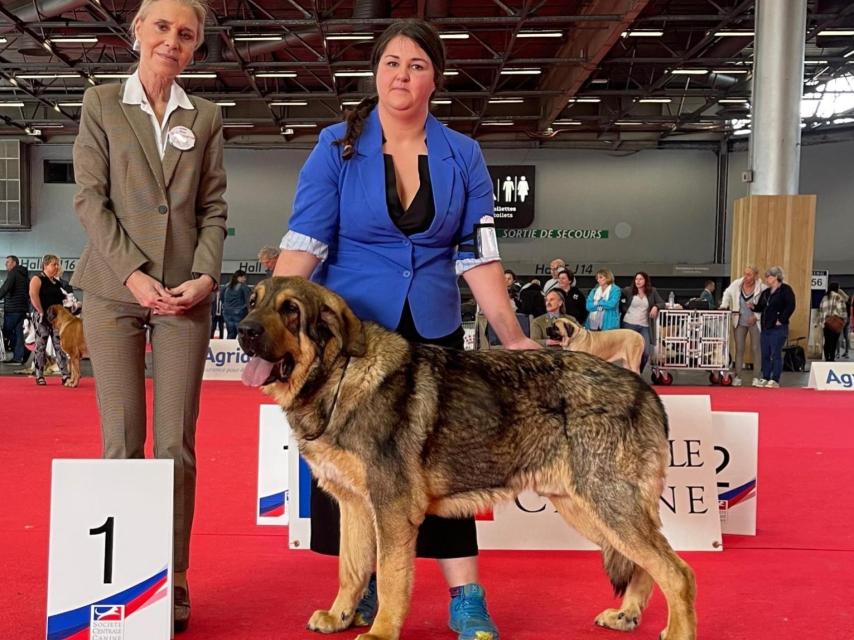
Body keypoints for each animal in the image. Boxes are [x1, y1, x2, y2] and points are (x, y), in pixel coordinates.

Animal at [237, 276, 700, 640]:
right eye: (253, 301)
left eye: (291, 310)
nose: (243, 331)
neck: (339, 375)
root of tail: (645, 390)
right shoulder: (355, 507)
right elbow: (351, 570)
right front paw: (341, 616)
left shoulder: (393, 511)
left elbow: (389, 579)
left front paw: (381, 632)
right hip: (587, 509)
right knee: (646, 567)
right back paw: (627, 615)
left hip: (607, 505)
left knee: (677, 572)